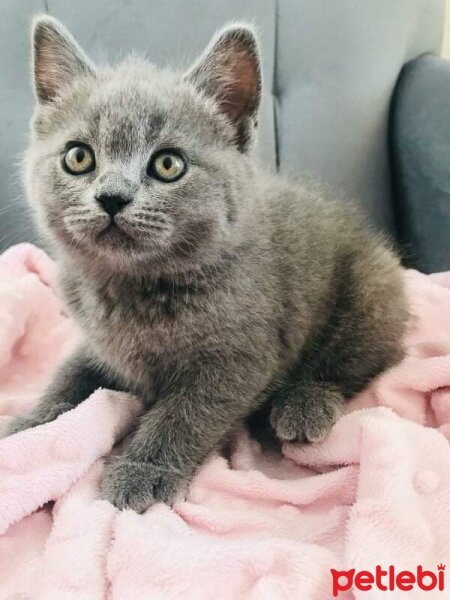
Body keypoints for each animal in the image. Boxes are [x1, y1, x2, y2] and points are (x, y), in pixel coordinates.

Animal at [6, 15, 408, 510]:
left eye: (168, 164)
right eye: (78, 156)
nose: (112, 197)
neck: (134, 286)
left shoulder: (239, 358)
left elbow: (184, 413)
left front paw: (144, 471)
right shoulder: (98, 345)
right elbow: (68, 375)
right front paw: (30, 425)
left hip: (372, 287)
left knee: (365, 357)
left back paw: (305, 402)